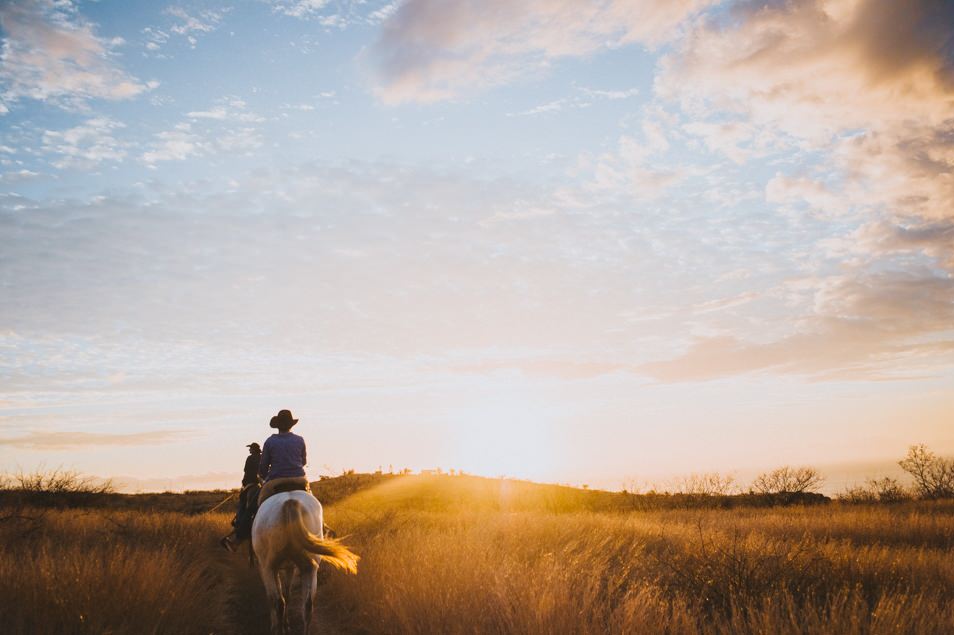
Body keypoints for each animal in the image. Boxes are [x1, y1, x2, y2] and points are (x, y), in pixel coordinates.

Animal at [251, 492, 358, 635]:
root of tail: (290, 503)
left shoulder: (265, 569)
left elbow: (274, 598)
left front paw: (277, 625)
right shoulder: (289, 568)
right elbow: (287, 594)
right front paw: (286, 624)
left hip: (269, 568)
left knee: (278, 602)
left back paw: (279, 628)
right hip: (310, 568)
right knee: (307, 605)